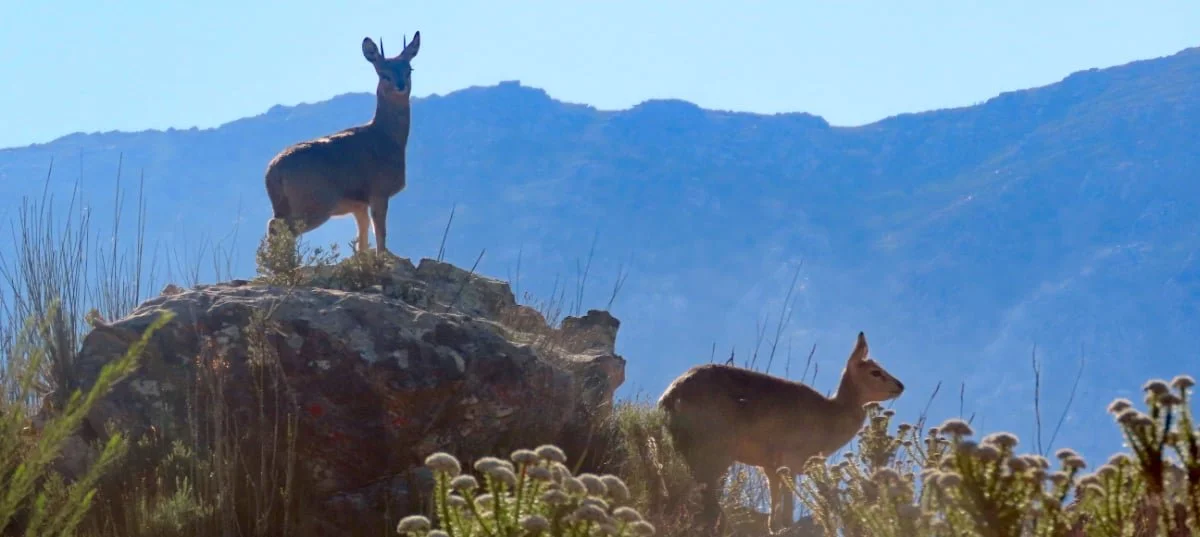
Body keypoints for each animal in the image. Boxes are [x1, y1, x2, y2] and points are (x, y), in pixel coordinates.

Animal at [264, 32, 421, 255]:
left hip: (286, 205)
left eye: (409, 69)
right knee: (282, 231)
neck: (387, 137)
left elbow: (362, 240)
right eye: (383, 74)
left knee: (275, 227)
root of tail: (272, 172)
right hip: (316, 202)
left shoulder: (359, 205)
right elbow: (380, 234)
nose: (401, 85)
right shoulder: (379, 191)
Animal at [657, 331, 905, 534]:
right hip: (716, 451)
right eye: (875, 372)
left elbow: (775, 503)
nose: (900, 386)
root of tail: (669, 397)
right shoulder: (790, 460)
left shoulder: (771, 466)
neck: (831, 415)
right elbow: (788, 505)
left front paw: (774, 528)